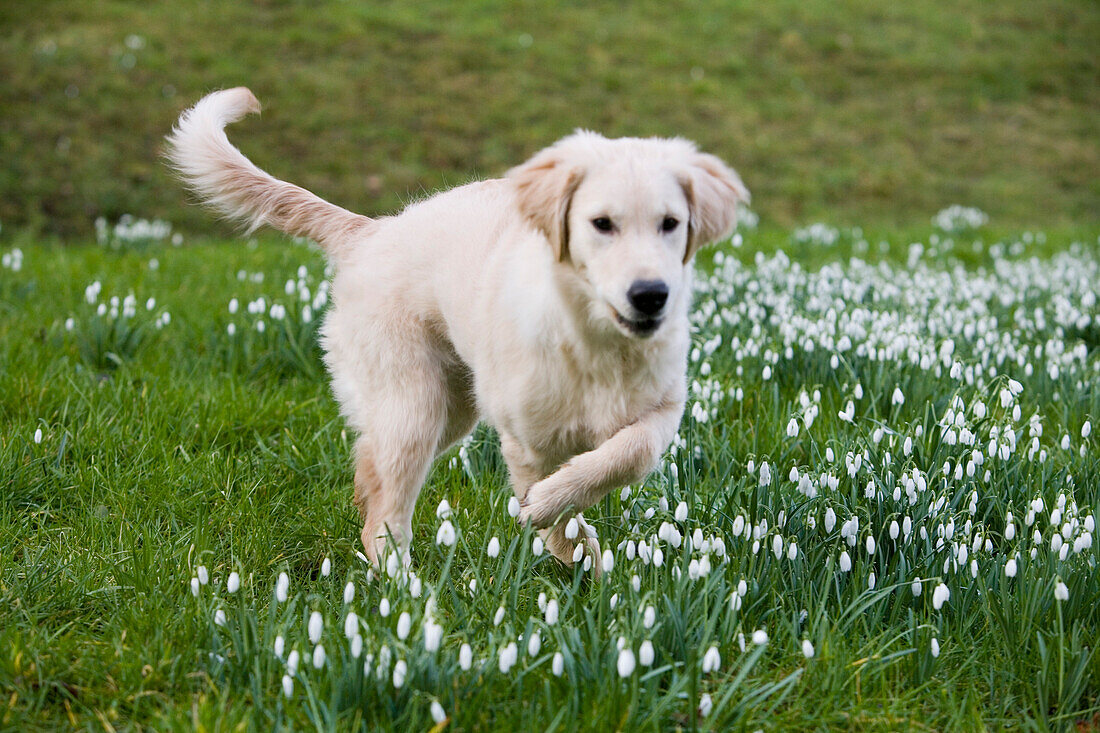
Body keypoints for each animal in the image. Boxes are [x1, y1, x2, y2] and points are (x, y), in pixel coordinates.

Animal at [167, 88, 752, 572]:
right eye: (601, 224)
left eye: (670, 224)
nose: (651, 295)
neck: (595, 342)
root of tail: (371, 232)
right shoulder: (526, 437)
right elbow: (554, 504)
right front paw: (559, 529)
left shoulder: (662, 410)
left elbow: (624, 455)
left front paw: (578, 540)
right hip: (414, 404)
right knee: (387, 513)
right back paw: (404, 590)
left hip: (450, 409)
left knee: (370, 463)